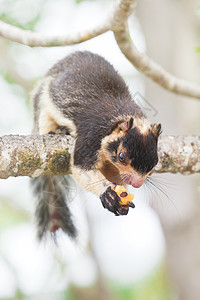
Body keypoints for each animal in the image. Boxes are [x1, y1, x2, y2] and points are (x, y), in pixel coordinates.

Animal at [31, 51, 162, 239]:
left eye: (155, 162)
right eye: (121, 156)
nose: (137, 183)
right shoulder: (90, 138)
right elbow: (81, 167)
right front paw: (107, 194)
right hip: (43, 99)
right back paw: (57, 131)